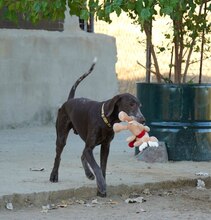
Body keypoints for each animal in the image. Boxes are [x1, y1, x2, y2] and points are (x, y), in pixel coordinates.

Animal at [49, 58, 145, 196]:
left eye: (140, 106)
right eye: (131, 104)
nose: (143, 120)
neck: (105, 120)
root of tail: (68, 101)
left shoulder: (105, 147)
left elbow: (102, 167)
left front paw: (100, 187)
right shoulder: (90, 147)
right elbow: (97, 168)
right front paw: (102, 186)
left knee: (82, 155)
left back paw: (88, 173)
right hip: (61, 137)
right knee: (58, 156)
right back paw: (54, 175)